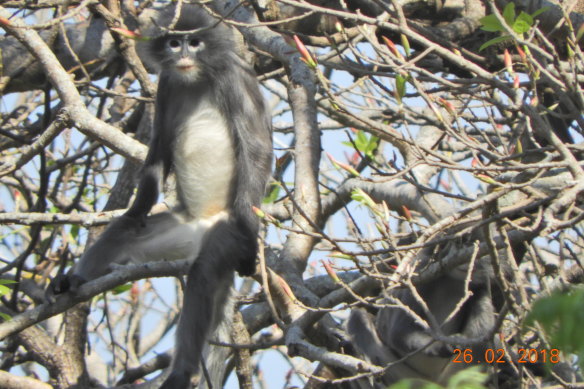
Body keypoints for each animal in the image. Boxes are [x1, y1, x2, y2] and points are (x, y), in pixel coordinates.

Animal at [47, 4, 272, 386]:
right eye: (173, 43)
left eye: (194, 43)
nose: (182, 55)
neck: (196, 78)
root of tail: (203, 225)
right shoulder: (166, 85)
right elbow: (158, 151)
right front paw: (136, 207)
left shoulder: (236, 78)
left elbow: (255, 149)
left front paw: (250, 232)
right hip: (180, 229)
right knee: (124, 231)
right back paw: (74, 279)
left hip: (221, 232)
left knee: (204, 271)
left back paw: (182, 371)